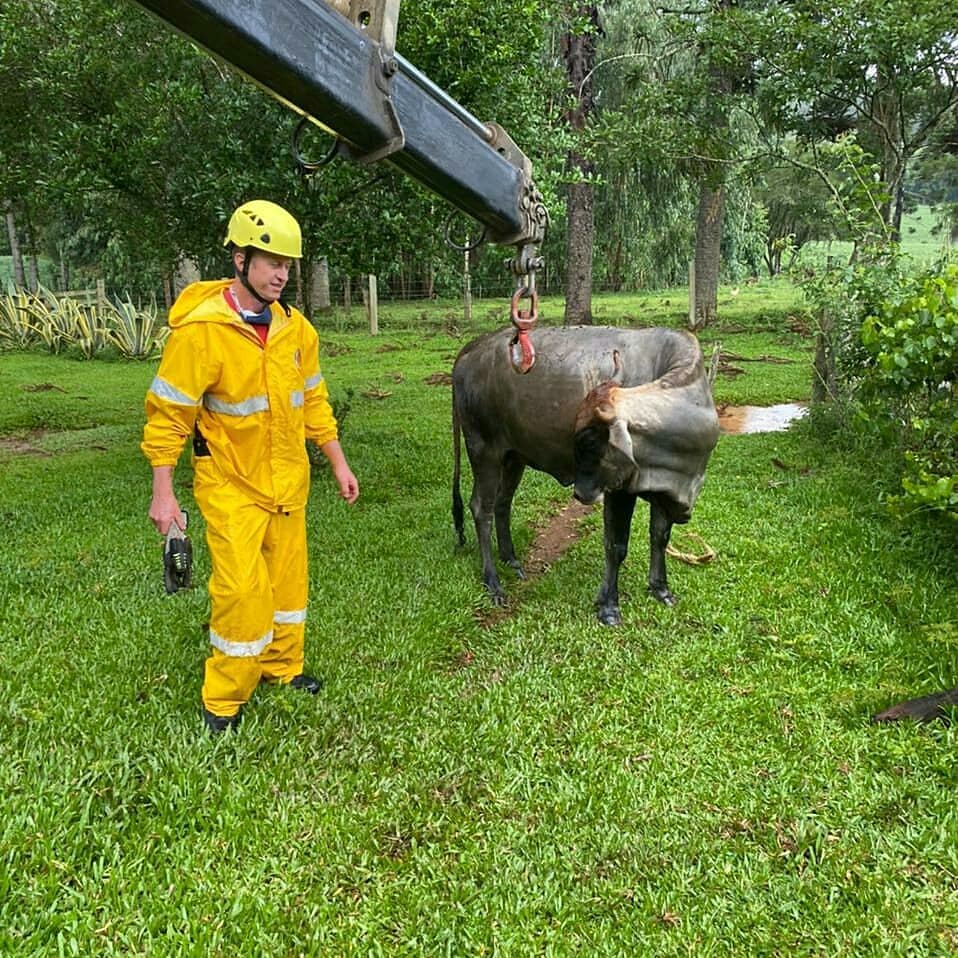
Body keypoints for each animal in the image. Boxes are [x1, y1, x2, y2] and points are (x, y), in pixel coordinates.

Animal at [452, 328, 720, 632]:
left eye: (591, 442)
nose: (580, 494)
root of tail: (472, 348)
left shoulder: (664, 489)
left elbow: (660, 536)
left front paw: (660, 589)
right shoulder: (621, 490)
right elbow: (617, 546)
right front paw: (608, 606)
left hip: (513, 456)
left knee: (502, 503)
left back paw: (511, 560)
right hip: (483, 451)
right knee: (480, 509)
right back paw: (493, 582)